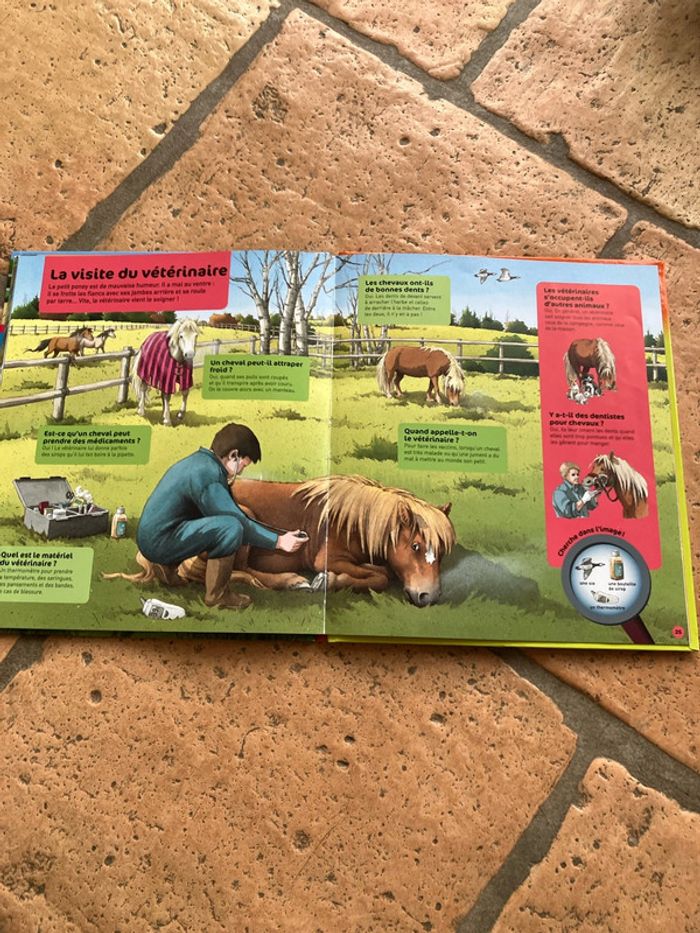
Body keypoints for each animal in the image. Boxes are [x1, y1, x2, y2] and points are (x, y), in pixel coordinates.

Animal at [110, 475, 455, 607]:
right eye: (415, 546)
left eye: (442, 553)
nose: (429, 596)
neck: (352, 521)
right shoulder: (328, 557)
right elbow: (379, 576)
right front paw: (327, 581)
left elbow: (380, 573)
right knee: (231, 571)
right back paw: (291, 581)